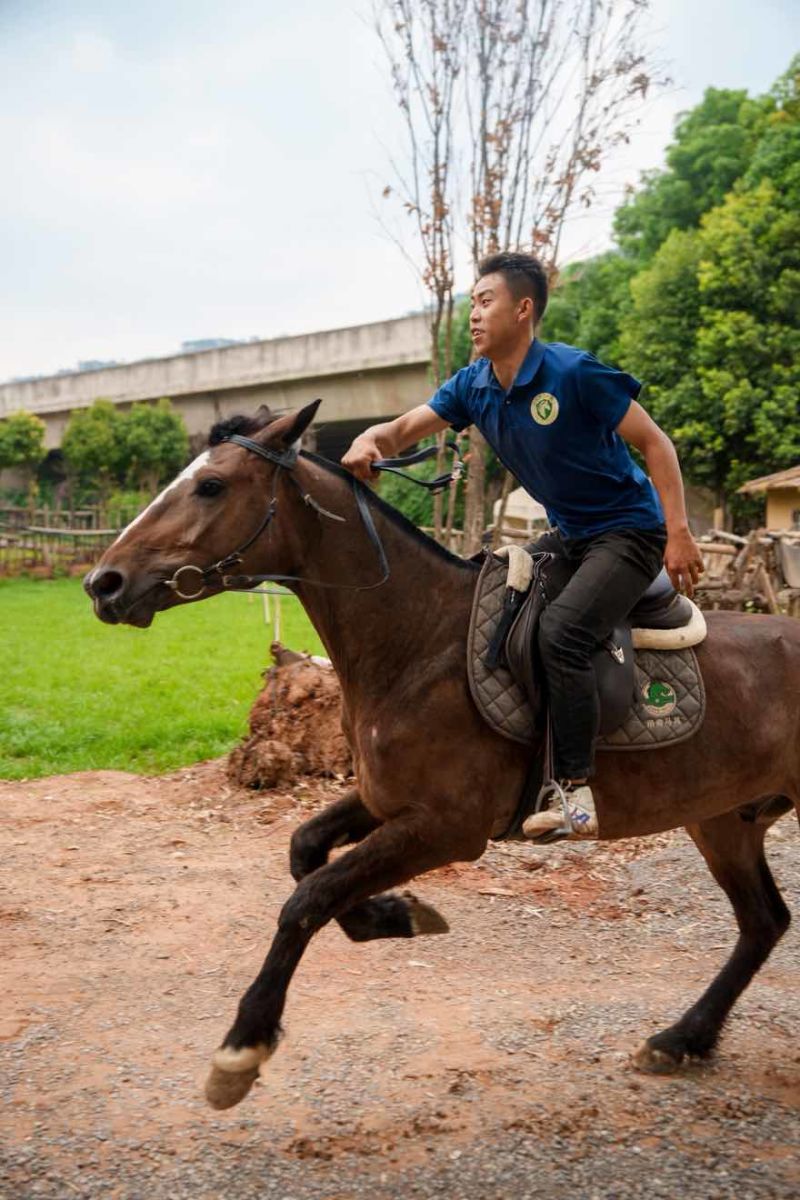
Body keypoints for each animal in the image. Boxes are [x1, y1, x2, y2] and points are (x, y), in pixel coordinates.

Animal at [84, 400, 800, 1110]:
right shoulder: (389, 802)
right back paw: (683, 1039)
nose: (103, 583)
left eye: (211, 485)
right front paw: (395, 915)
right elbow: (305, 853)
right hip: (724, 817)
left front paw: (243, 1047)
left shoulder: (448, 828)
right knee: (764, 921)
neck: (419, 639)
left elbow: (307, 898)